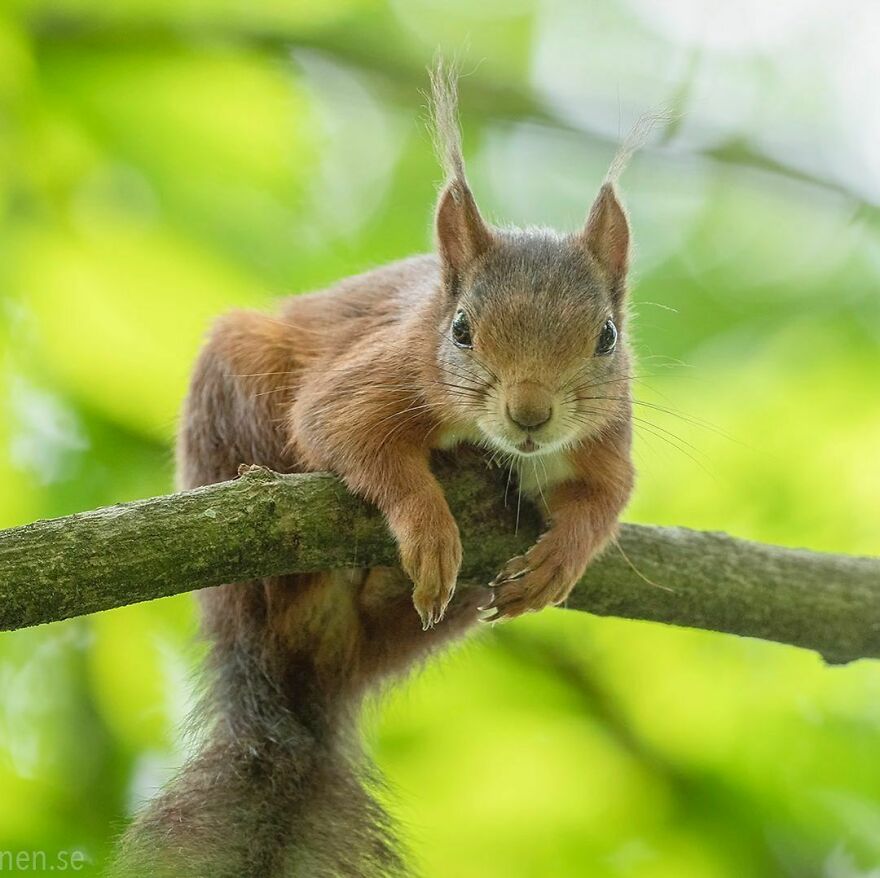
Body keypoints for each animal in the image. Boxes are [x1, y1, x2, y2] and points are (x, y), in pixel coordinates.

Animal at [111, 65, 635, 877]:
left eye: (607, 337)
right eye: (461, 330)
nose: (531, 414)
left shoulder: (609, 438)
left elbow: (606, 499)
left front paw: (563, 555)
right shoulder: (376, 372)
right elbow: (348, 436)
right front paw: (428, 526)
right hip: (231, 402)